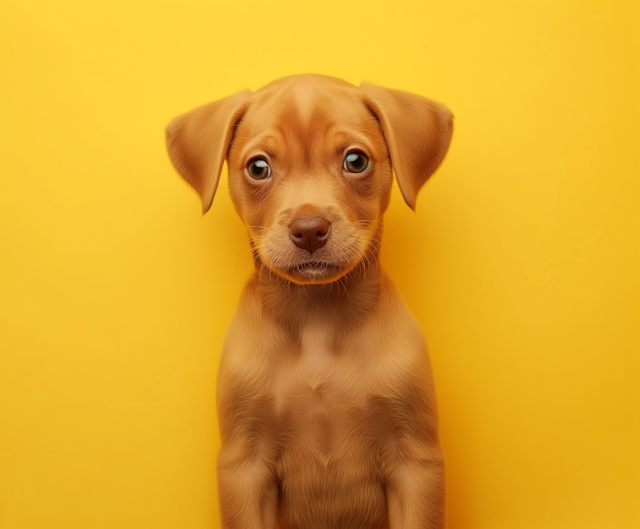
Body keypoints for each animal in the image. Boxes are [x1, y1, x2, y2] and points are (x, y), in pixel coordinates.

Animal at [168, 73, 452, 528]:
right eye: (258, 168)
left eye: (356, 161)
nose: (309, 229)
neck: (317, 321)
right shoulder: (244, 467)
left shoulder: (416, 461)